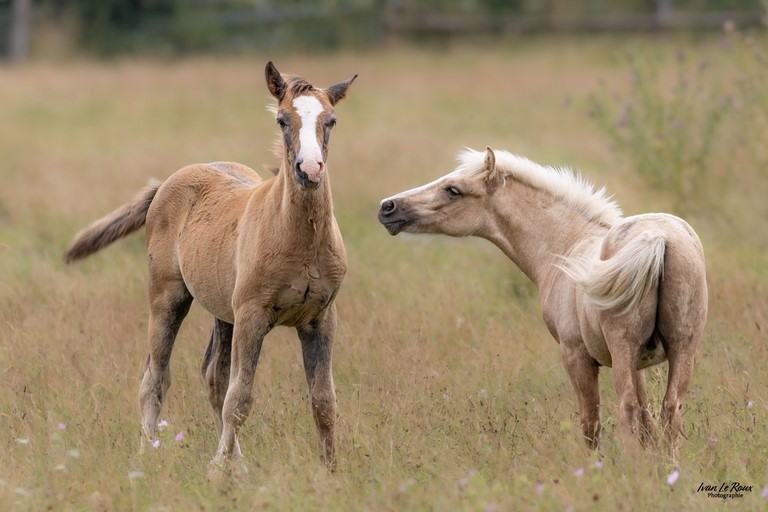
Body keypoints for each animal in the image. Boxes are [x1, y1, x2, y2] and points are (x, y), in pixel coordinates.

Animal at [65, 62, 357, 471]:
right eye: (282, 120)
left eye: (330, 120)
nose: (310, 170)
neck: (296, 238)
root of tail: (166, 183)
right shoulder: (252, 315)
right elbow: (241, 397)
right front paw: (219, 471)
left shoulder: (321, 319)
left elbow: (323, 400)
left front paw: (329, 471)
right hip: (167, 297)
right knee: (155, 376)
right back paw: (148, 453)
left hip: (223, 312)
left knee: (212, 376)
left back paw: (238, 462)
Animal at [378, 146, 707, 455]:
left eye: (453, 189)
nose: (387, 207)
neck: (566, 244)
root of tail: (657, 238)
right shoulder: (636, 363)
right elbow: (647, 421)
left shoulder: (577, 356)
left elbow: (591, 422)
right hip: (682, 347)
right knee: (670, 408)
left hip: (625, 347)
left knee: (628, 408)